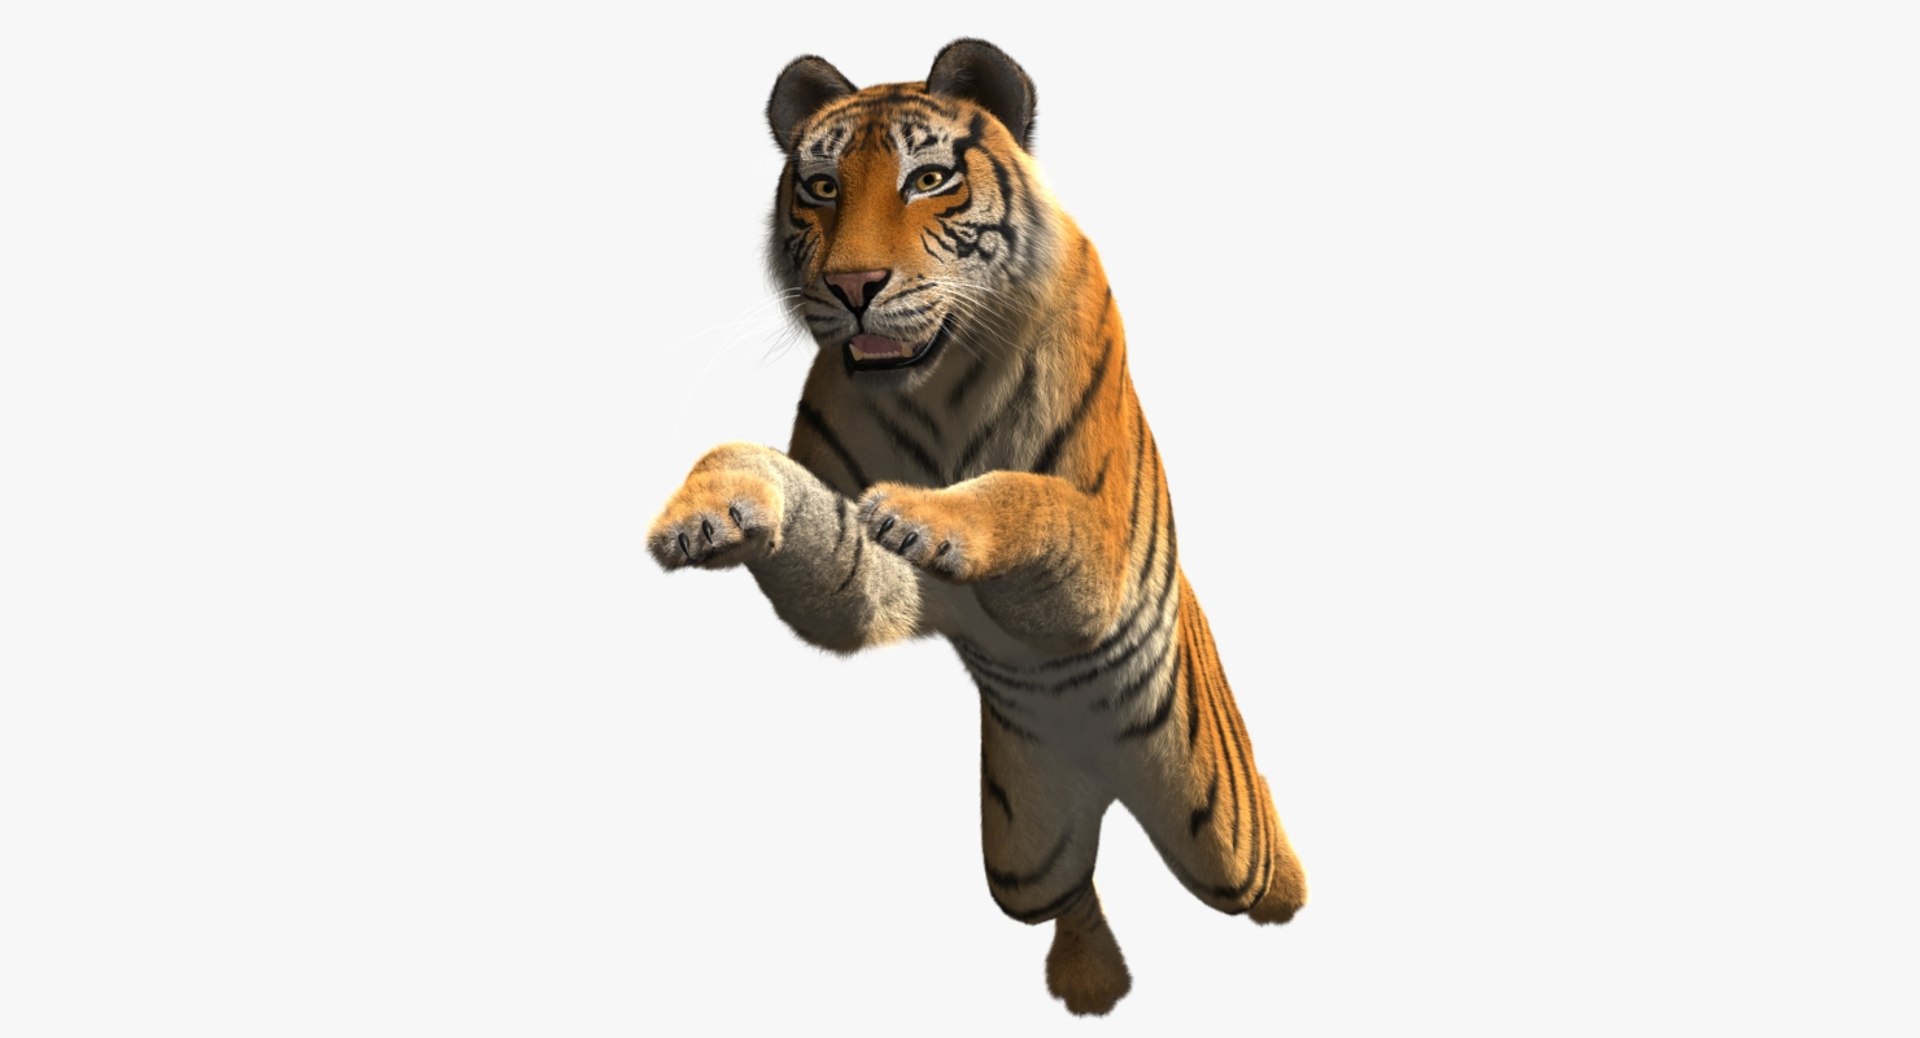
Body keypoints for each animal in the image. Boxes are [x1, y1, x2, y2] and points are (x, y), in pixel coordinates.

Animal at [646, 38, 1307, 1015]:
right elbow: (790, 501)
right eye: (820, 187)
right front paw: (708, 508)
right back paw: (1090, 985)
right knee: (1069, 898)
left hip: (1226, 841)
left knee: (1262, 876)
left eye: (928, 178)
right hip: (1023, 853)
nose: (851, 286)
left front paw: (923, 512)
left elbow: (1026, 494)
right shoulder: (867, 582)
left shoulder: (1093, 555)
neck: (937, 387)